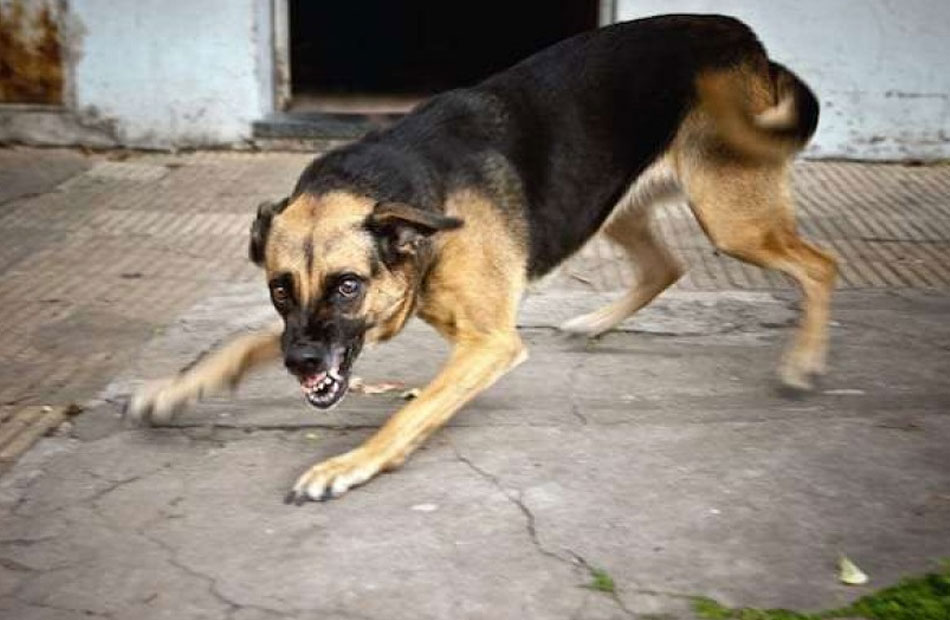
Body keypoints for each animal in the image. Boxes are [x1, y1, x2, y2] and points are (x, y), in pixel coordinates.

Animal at [130, 14, 836, 504]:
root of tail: (745, 37)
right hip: (614, 205)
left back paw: (802, 362)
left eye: (348, 285)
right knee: (668, 267)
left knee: (820, 265)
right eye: (279, 288)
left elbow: (408, 413)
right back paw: (595, 323)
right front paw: (176, 388)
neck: (420, 210)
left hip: (733, 221)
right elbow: (243, 342)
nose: (301, 366)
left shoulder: (488, 344)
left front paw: (346, 466)